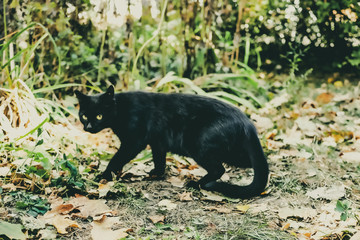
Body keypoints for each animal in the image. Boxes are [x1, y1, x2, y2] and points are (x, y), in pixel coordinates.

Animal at [75, 86, 268, 199]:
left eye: (99, 115)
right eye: (84, 115)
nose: (88, 126)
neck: (121, 109)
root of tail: (247, 122)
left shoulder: (134, 142)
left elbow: (116, 159)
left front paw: (104, 176)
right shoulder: (157, 140)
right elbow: (159, 158)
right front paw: (156, 173)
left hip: (197, 144)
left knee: (218, 169)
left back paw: (196, 184)